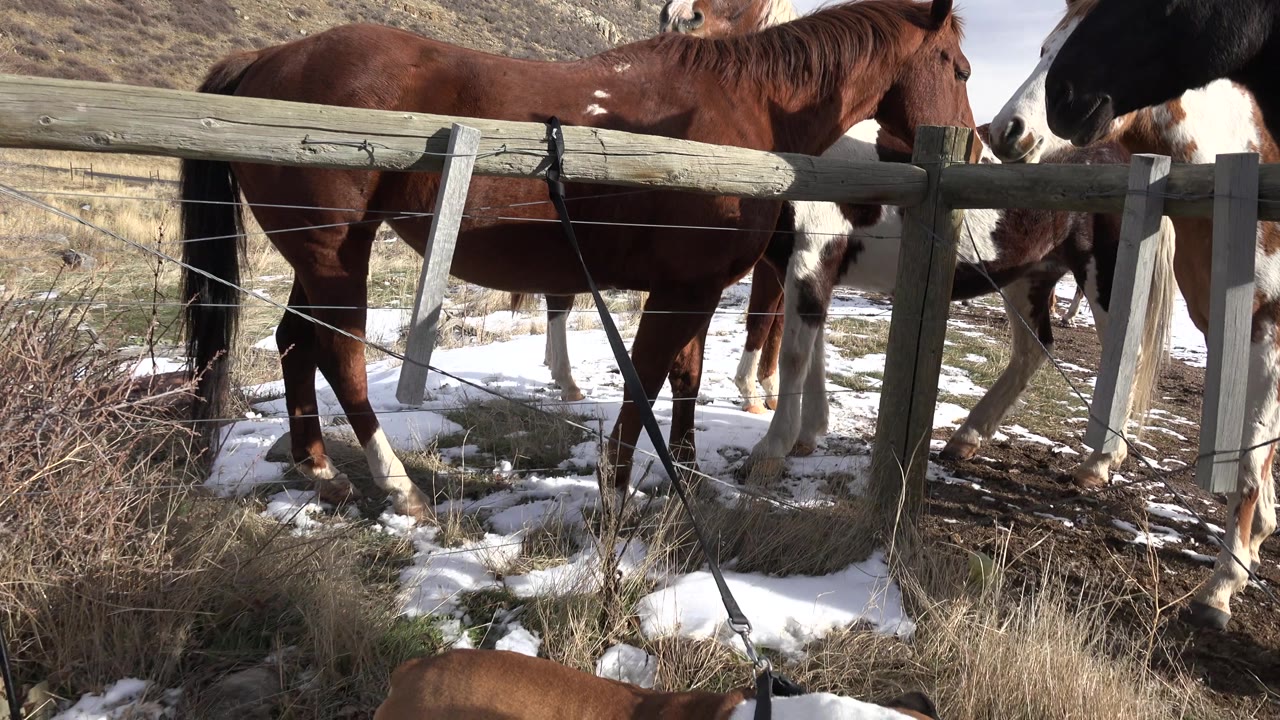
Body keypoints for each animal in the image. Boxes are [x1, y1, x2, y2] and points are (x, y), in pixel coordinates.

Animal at [180, 0, 979, 520]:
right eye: (963, 68)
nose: (976, 145)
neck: (739, 110)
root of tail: (268, 58)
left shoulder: (693, 287)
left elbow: (684, 379)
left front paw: (687, 474)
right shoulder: (683, 290)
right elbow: (646, 381)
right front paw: (617, 490)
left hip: (318, 259)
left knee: (295, 342)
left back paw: (320, 467)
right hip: (335, 254)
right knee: (339, 354)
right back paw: (397, 485)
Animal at [659, 0, 1176, 489]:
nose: (673, 18)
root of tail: (1126, 155)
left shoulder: (808, 261)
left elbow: (794, 355)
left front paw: (770, 451)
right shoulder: (809, 269)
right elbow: (814, 351)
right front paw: (807, 435)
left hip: (1103, 277)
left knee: (1121, 360)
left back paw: (1098, 462)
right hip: (1025, 278)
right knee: (1033, 351)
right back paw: (966, 439)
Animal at [988, 0, 1280, 631]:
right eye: (1043, 48)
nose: (1006, 132)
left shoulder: (1268, 333)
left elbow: (1249, 461)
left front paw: (1222, 587)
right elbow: (1253, 453)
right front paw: (1255, 541)